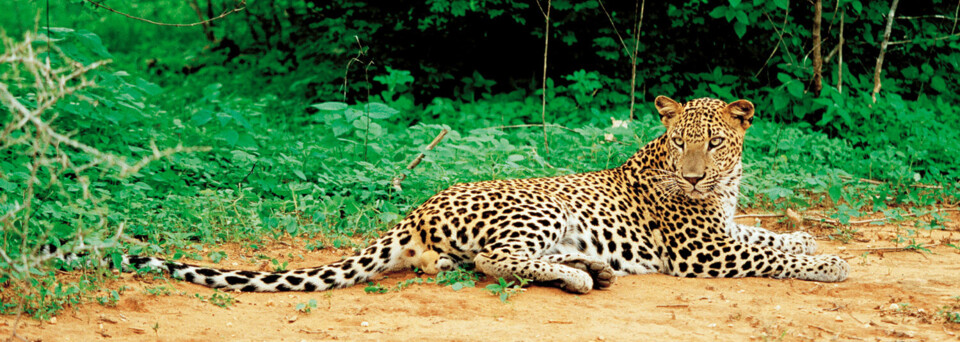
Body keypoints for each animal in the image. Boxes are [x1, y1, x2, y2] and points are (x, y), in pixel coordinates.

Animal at [65, 95, 848, 292]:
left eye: (713, 142)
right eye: (683, 141)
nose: (691, 175)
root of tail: (418, 207)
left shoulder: (726, 227)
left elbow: (769, 236)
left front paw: (809, 237)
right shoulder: (704, 248)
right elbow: (771, 255)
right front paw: (832, 261)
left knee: (473, 263)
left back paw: (590, 267)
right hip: (538, 209)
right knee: (500, 263)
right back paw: (583, 277)